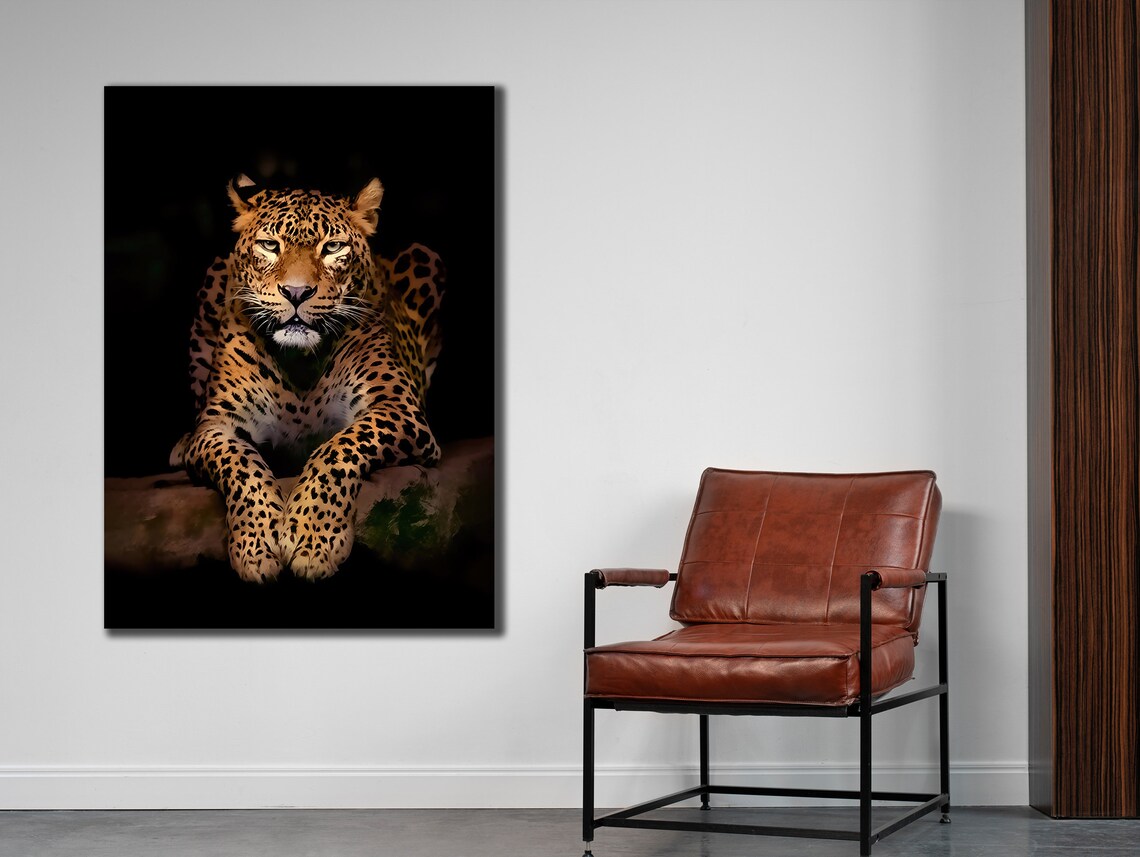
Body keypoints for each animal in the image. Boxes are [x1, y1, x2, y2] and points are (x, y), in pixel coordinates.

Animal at [169, 175, 444, 582]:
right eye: (270, 245)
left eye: (332, 247)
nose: (296, 293)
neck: (299, 361)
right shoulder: (217, 426)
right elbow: (241, 466)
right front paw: (256, 545)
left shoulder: (398, 407)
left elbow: (338, 448)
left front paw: (313, 540)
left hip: (425, 256)